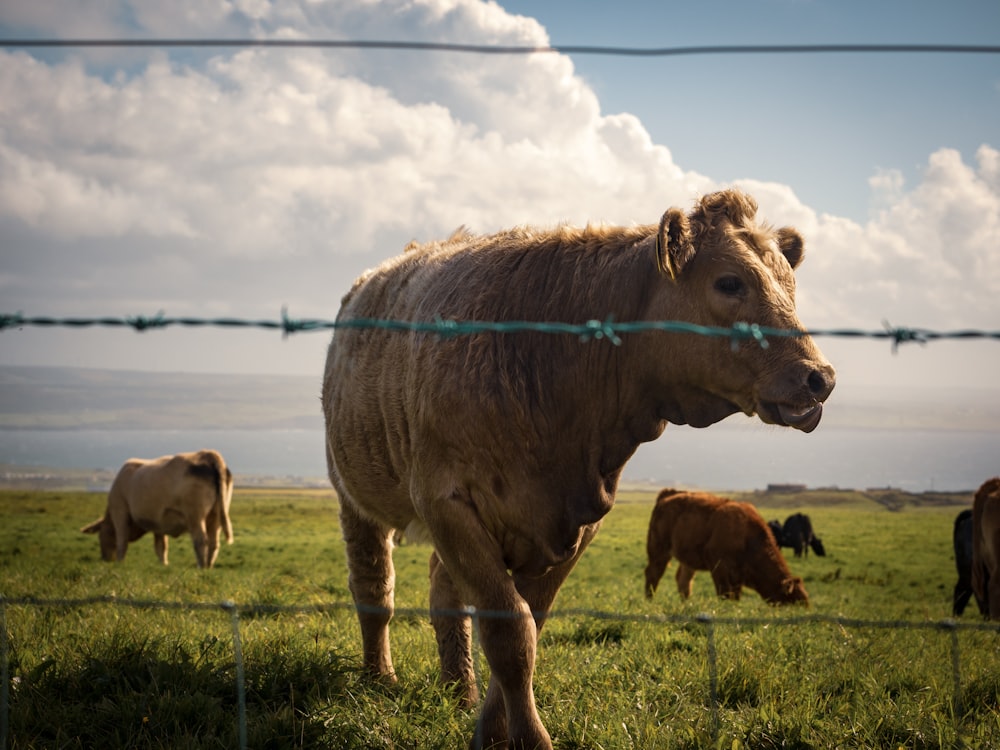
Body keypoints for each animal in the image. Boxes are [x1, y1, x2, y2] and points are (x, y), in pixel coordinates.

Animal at [81, 450, 234, 568]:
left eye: (100, 535)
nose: (105, 559)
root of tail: (208, 455)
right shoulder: (159, 523)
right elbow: (161, 547)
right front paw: (164, 564)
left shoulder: (120, 511)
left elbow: (122, 541)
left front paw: (120, 563)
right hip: (217, 515)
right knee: (214, 542)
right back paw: (208, 566)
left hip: (195, 516)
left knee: (201, 540)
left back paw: (201, 566)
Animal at [644, 490, 808, 608]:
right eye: (796, 599)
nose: (806, 611)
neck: (747, 535)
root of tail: (667, 495)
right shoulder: (719, 567)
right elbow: (724, 592)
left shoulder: (738, 576)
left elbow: (735, 595)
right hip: (659, 551)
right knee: (653, 574)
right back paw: (650, 600)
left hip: (688, 561)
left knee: (683, 580)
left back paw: (686, 604)